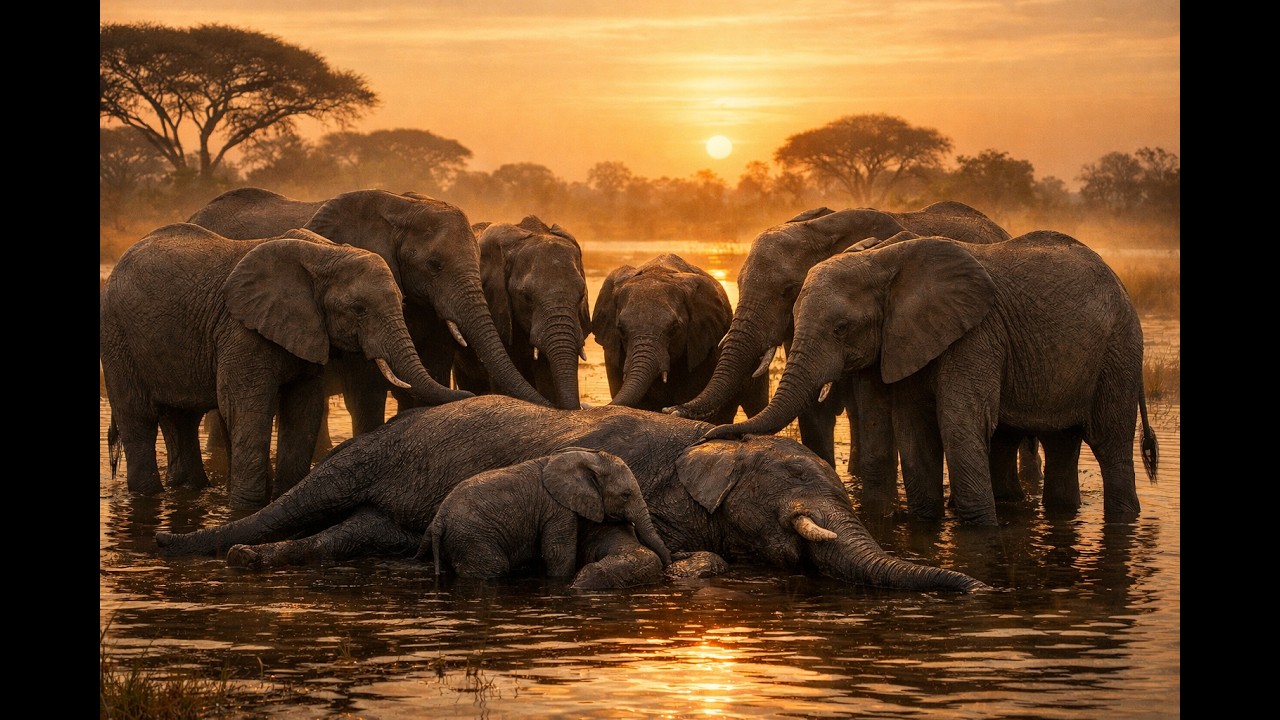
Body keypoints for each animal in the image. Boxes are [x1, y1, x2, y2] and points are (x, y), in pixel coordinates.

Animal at [100, 223, 470, 508]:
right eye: (359, 310)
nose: (468, 393)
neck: (325, 255)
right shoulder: (240, 329)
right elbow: (248, 408)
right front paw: (246, 507)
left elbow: (303, 409)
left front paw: (283, 496)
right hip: (116, 337)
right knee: (138, 419)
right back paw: (148, 494)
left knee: (182, 419)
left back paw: (189, 489)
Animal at [416, 448, 672, 586]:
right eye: (626, 495)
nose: (669, 565)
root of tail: (438, 520)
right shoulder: (557, 508)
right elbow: (558, 554)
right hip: (472, 538)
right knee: (494, 568)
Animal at [702, 231, 1159, 526]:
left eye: (841, 328)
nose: (712, 434)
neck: (885, 260)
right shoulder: (902, 338)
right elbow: (913, 427)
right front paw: (926, 521)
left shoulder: (977, 333)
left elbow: (959, 424)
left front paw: (980, 526)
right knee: (1060, 444)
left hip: (1119, 352)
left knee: (1110, 444)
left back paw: (1123, 515)